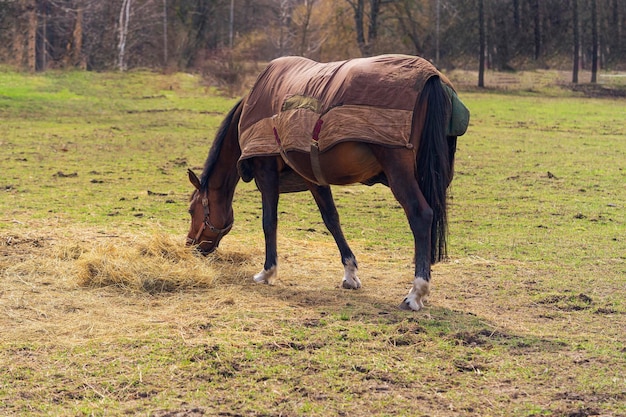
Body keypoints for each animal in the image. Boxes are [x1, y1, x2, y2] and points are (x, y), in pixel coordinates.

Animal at [185, 54, 468, 308]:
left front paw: (267, 272)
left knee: (421, 216)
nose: (191, 246)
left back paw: (416, 292)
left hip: (399, 171)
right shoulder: (312, 176)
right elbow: (332, 219)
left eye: (191, 210)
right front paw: (350, 273)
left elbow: (269, 222)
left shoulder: (266, 172)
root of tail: (431, 78)